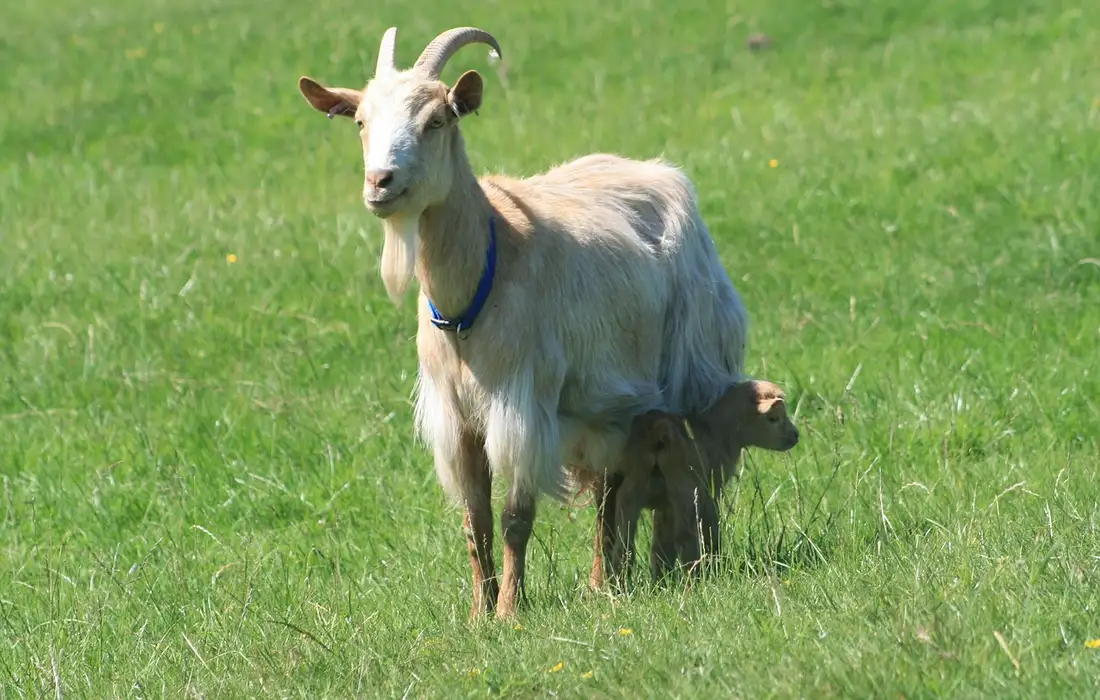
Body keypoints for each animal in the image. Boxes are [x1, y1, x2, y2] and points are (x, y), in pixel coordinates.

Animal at [297, 26, 748, 619]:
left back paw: (622, 578)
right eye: (360, 122)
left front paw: (511, 611)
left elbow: (516, 518)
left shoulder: (523, 405)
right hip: (602, 403)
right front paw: (477, 614)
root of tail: (658, 170)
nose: (381, 183)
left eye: (437, 120)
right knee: (610, 486)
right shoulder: (456, 418)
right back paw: (602, 582)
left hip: (679, 367)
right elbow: (476, 523)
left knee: (637, 480)